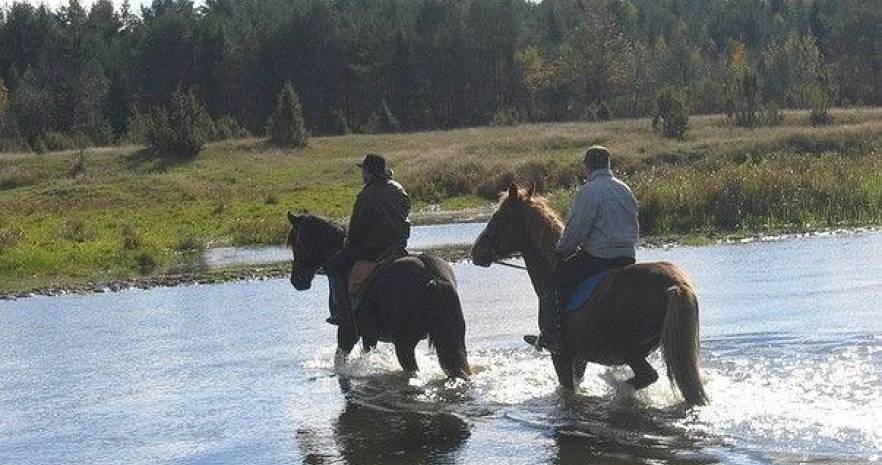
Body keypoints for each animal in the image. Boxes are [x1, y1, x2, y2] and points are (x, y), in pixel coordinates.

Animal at [286, 212, 470, 378]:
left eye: (297, 243)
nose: (297, 281)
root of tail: (433, 278)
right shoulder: (370, 334)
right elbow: (366, 353)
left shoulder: (347, 330)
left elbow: (340, 360)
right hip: (454, 338)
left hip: (404, 344)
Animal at [470, 183, 704, 404]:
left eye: (498, 218)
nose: (476, 251)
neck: (552, 267)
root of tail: (677, 284)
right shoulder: (580, 356)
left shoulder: (561, 355)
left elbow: (568, 389)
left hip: (626, 349)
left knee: (647, 376)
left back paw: (617, 388)